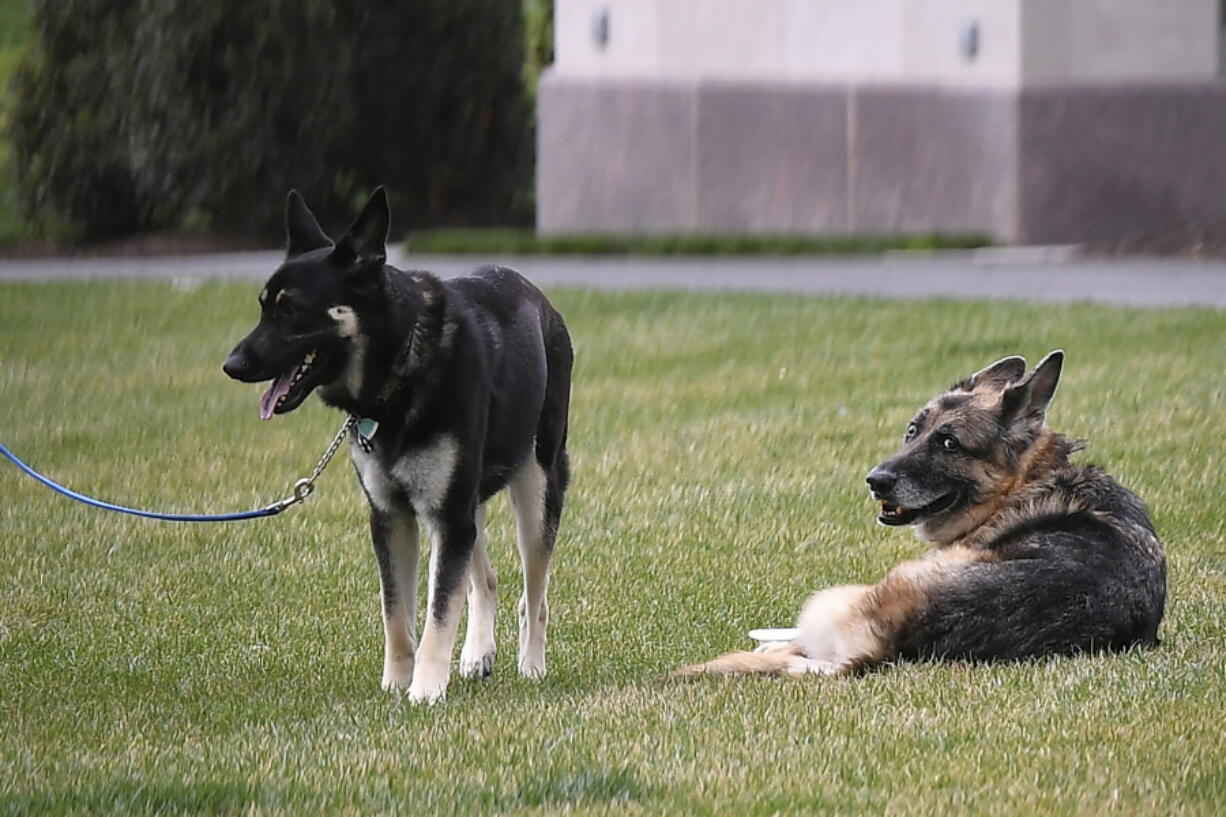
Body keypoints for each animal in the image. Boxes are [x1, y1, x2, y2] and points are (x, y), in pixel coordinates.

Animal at [224, 188, 568, 701]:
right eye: (263, 306)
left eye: (291, 310)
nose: (231, 365)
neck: (401, 365)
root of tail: (539, 298)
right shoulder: (394, 517)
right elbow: (397, 614)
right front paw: (395, 684)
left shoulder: (446, 516)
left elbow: (438, 614)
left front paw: (425, 691)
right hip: (467, 504)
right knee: (485, 580)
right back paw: (478, 654)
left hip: (536, 487)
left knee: (534, 595)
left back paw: (532, 665)